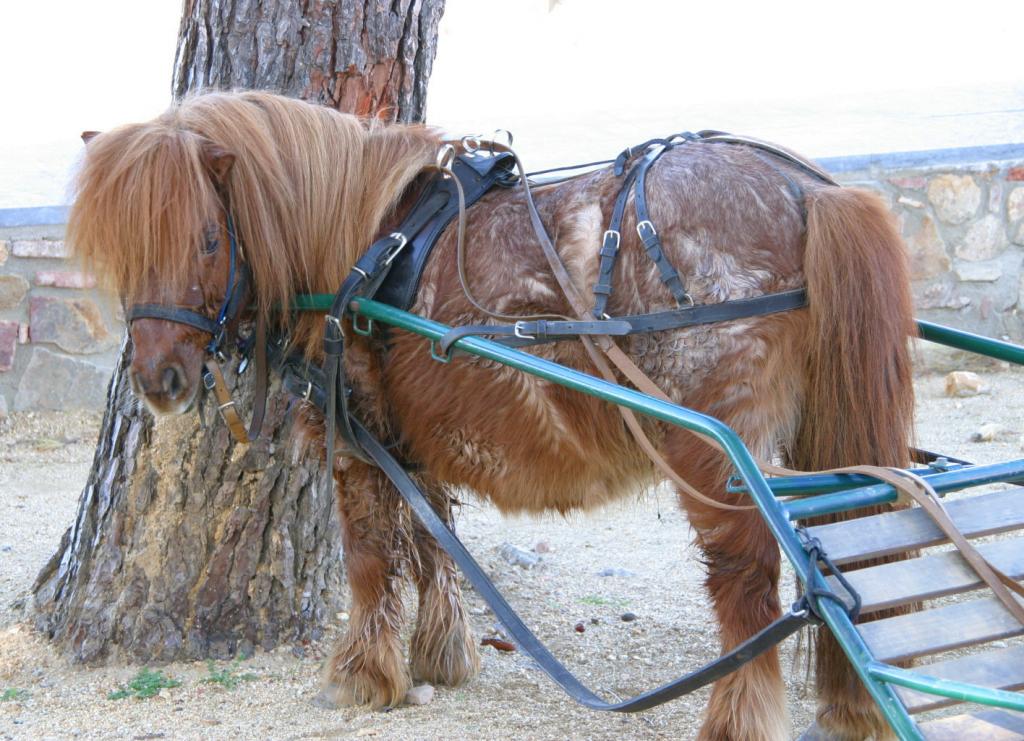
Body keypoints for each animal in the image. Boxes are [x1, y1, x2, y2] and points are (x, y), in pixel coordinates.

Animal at [68, 92, 917, 741]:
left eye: (210, 239)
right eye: (125, 250)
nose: (160, 378)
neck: (363, 242)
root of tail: (807, 192)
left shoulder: (355, 439)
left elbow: (370, 556)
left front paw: (362, 675)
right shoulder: (412, 436)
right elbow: (430, 535)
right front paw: (442, 653)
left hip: (711, 453)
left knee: (747, 580)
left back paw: (738, 719)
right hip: (819, 440)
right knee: (858, 539)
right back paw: (851, 708)